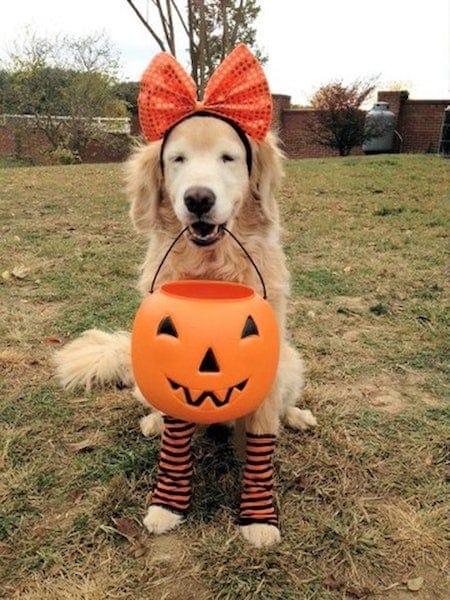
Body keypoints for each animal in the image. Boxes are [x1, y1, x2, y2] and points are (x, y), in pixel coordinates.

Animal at [55, 113, 316, 548]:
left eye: (228, 157)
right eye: (177, 159)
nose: (198, 199)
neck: (210, 269)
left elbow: (262, 432)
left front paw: (259, 519)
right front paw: (166, 507)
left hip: (291, 362)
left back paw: (295, 416)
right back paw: (154, 422)